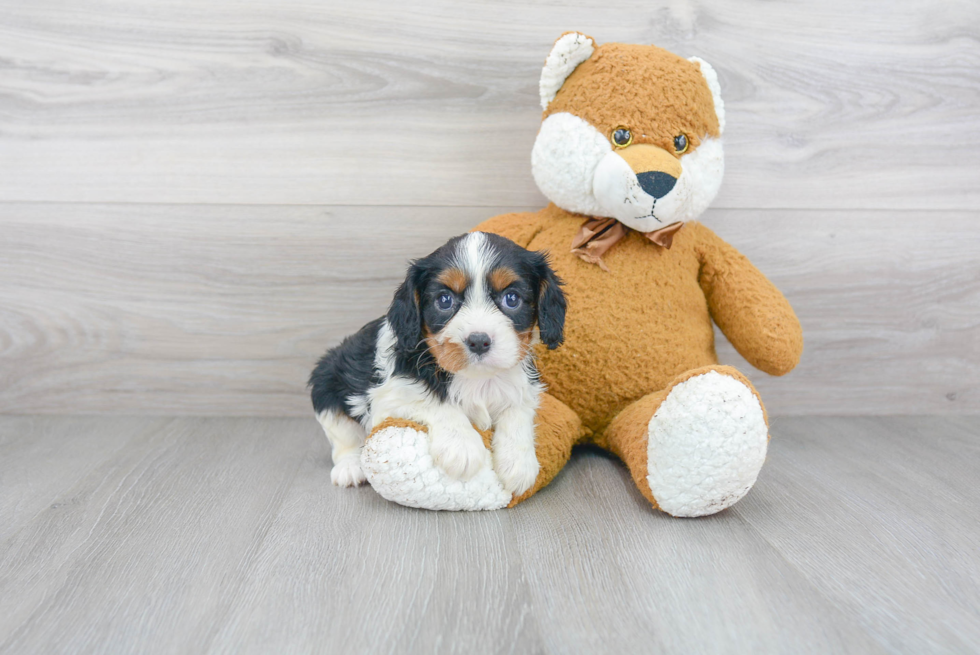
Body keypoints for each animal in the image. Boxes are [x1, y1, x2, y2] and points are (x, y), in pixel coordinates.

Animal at [306, 233, 568, 494]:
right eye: (444, 300)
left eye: (511, 298)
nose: (478, 341)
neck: (477, 378)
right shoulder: (391, 394)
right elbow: (434, 402)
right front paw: (462, 446)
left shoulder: (525, 388)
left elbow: (517, 411)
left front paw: (519, 463)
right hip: (326, 381)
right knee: (344, 439)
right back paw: (349, 468)